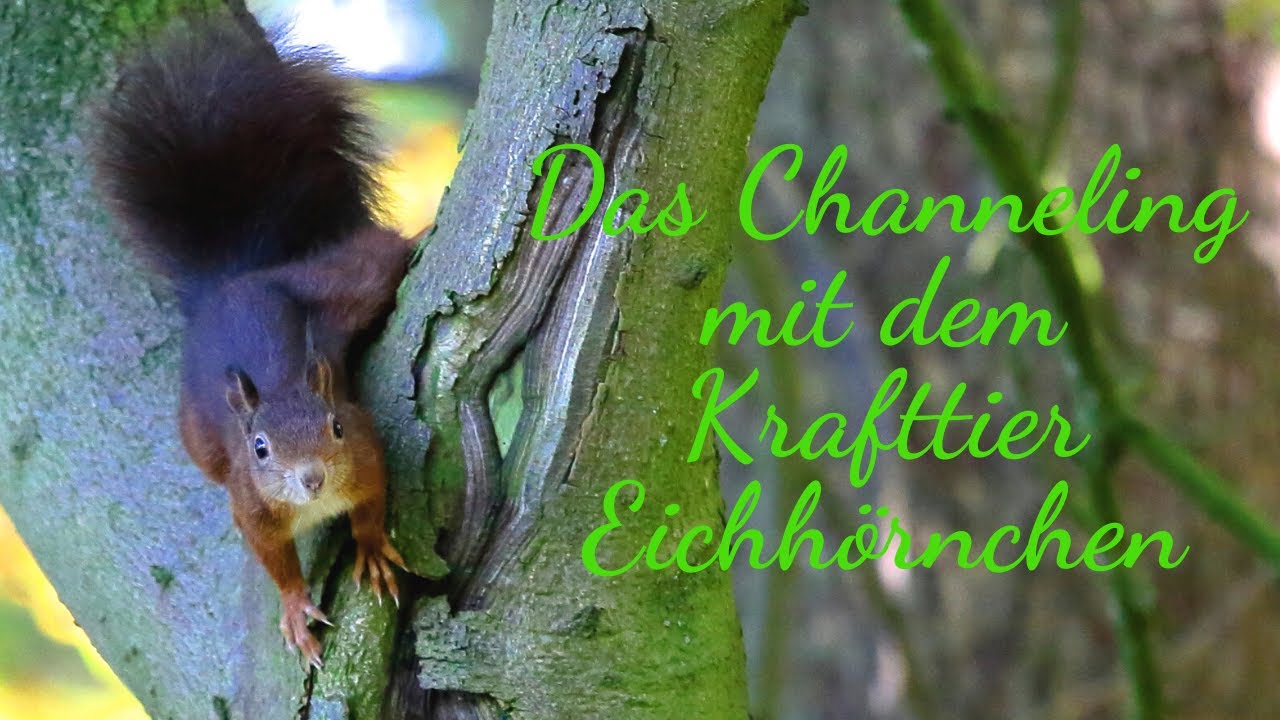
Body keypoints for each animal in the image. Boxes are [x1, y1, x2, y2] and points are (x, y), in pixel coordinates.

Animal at [89, 16, 414, 668]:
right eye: (260, 449)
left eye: (335, 426)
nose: (311, 479)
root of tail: (233, 281)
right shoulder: (252, 504)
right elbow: (275, 562)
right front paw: (293, 609)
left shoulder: (366, 456)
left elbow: (372, 507)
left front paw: (369, 548)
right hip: (199, 435)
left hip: (349, 282)